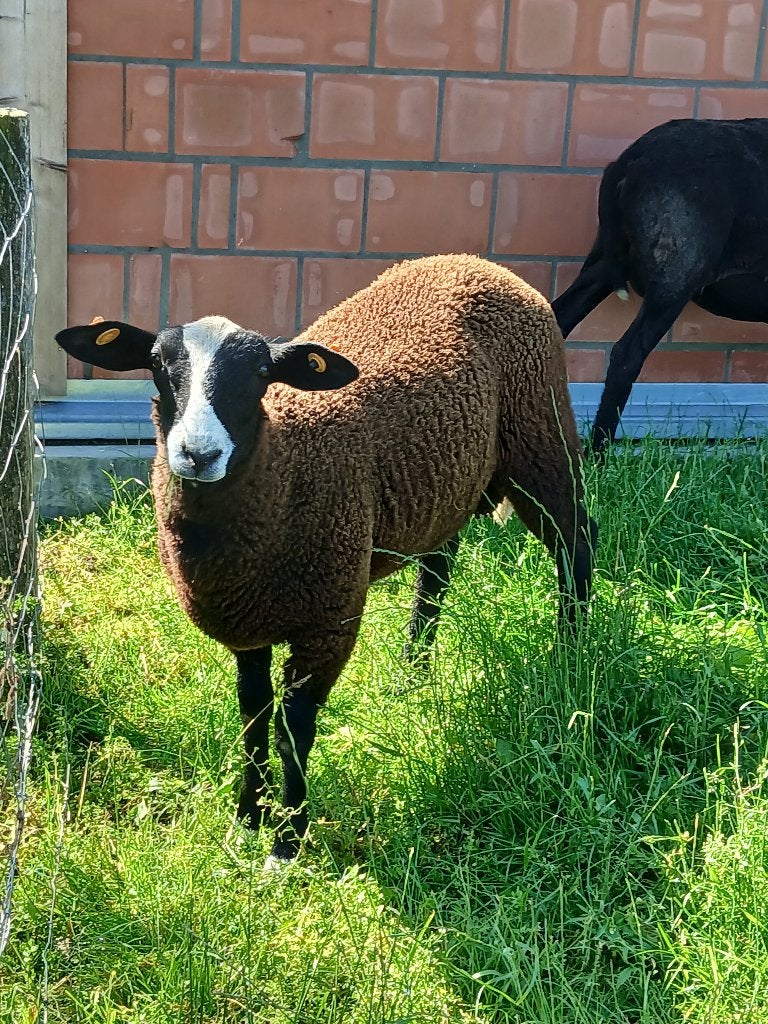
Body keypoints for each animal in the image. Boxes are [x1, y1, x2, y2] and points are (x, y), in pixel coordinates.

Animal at [56, 253, 596, 866]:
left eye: (260, 374)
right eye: (155, 364)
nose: (198, 454)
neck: (283, 468)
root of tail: (475, 262)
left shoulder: (328, 619)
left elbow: (294, 726)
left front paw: (286, 843)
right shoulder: (247, 621)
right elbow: (253, 713)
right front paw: (246, 818)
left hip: (542, 434)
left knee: (577, 543)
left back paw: (570, 655)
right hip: (451, 484)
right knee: (437, 570)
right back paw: (412, 674)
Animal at [552, 117, 768, 455]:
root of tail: (630, 160)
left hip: (609, 260)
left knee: (559, 316)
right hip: (675, 277)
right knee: (627, 355)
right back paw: (599, 452)